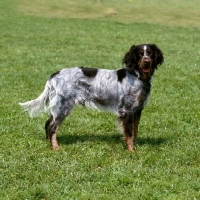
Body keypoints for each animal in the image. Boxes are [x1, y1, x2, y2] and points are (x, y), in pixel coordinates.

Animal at [19, 43, 164, 152]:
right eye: (140, 53)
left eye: (150, 53)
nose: (147, 61)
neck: (137, 77)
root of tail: (55, 75)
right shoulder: (126, 110)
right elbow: (129, 134)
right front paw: (131, 151)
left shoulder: (137, 110)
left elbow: (134, 131)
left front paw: (134, 146)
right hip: (64, 106)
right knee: (53, 127)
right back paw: (55, 147)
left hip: (59, 106)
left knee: (48, 123)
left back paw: (49, 143)